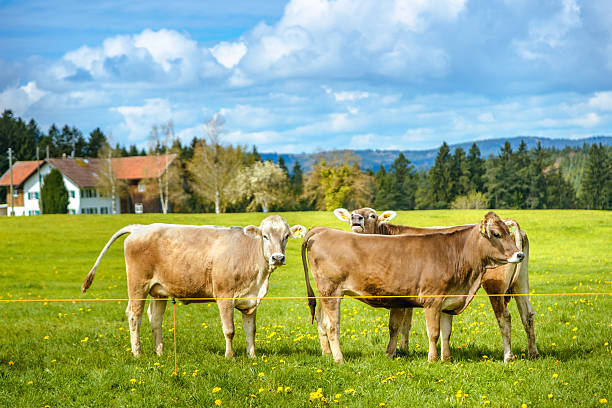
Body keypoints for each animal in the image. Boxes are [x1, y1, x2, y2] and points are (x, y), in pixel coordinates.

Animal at [81, 215, 306, 358]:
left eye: (286, 236)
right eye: (265, 236)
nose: (278, 258)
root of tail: (140, 228)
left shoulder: (250, 301)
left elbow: (251, 330)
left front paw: (252, 356)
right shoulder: (224, 296)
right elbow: (229, 330)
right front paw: (230, 356)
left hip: (158, 291)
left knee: (155, 319)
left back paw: (159, 352)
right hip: (138, 285)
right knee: (134, 315)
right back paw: (137, 352)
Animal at [304, 212, 524, 362]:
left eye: (508, 232)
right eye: (496, 234)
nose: (519, 254)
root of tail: (323, 230)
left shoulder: (448, 302)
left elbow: (446, 333)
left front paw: (446, 359)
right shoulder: (432, 301)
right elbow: (433, 332)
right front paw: (432, 359)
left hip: (326, 294)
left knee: (322, 321)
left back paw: (327, 355)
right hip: (331, 291)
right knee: (332, 325)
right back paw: (339, 358)